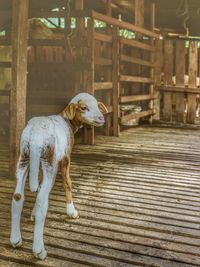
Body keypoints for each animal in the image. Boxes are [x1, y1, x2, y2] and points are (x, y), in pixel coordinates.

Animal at [9, 93, 108, 260]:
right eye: (84, 108)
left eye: (97, 105)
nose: (101, 118)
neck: (67, 121)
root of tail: (35, 135)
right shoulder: (65, 157)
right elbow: (67, 183)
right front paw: (71, 211)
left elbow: (40, 185)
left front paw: (33, 213)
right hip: (49, 158)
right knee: (42, 200)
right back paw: (39, 250)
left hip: (24, 156)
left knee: (18, 197)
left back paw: (15, 240)